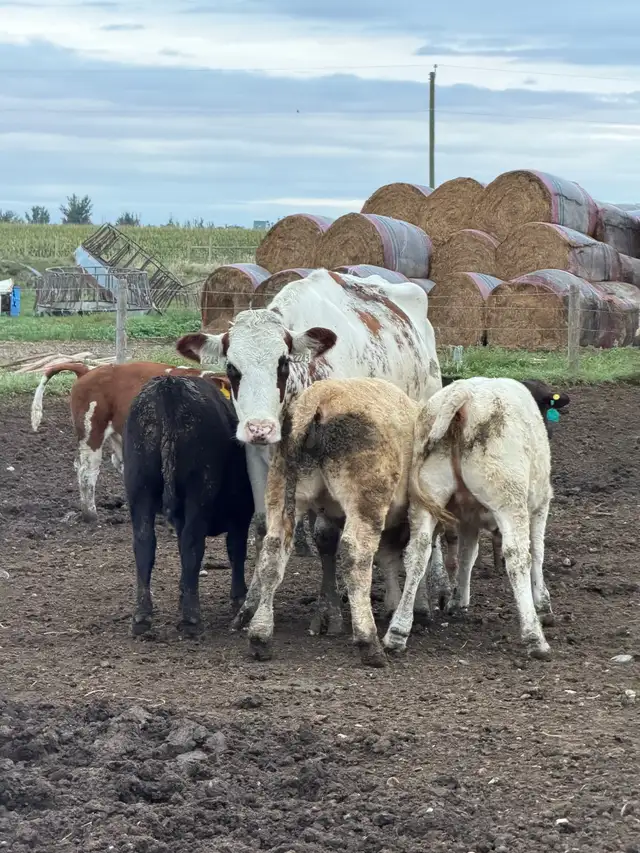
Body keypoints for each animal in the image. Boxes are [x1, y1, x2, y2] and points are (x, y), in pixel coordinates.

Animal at [123, 375, 254, 636]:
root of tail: (168, 386)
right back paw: (191, 619)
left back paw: (142, 616)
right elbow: (236, 551)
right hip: (199, 489)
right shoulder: (242, 512)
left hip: (139, 487)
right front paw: (238, 598)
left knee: (144, 544)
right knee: (193, 543)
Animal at [176, 268, 448, 633]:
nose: (259, 427)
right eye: (232, 368)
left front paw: (329, 611)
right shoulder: (259, 458)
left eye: (282, 363)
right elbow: (263, 528)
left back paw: (430, 594)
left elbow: (326, 536)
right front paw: (251, 607)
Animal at [232, 377, 451, 667]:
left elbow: (389, 557)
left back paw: (260, 636)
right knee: (355, 555)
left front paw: (395, 605)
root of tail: (317, 400)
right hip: (366, 497)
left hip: (284, 488)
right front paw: (417, 611)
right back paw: (369, 643)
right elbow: (415, 556)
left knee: (273, 551)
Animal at [383, 377, 555, 661]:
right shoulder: (541, 504)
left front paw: (458, 601)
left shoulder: (468, 518)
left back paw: (398, 631)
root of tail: (463, 396)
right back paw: (534, 637)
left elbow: (467, 556)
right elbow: (538, 554)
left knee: (417, 553)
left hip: (426, 496)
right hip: (509, 498)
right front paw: (543, 603)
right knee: (518, 557)